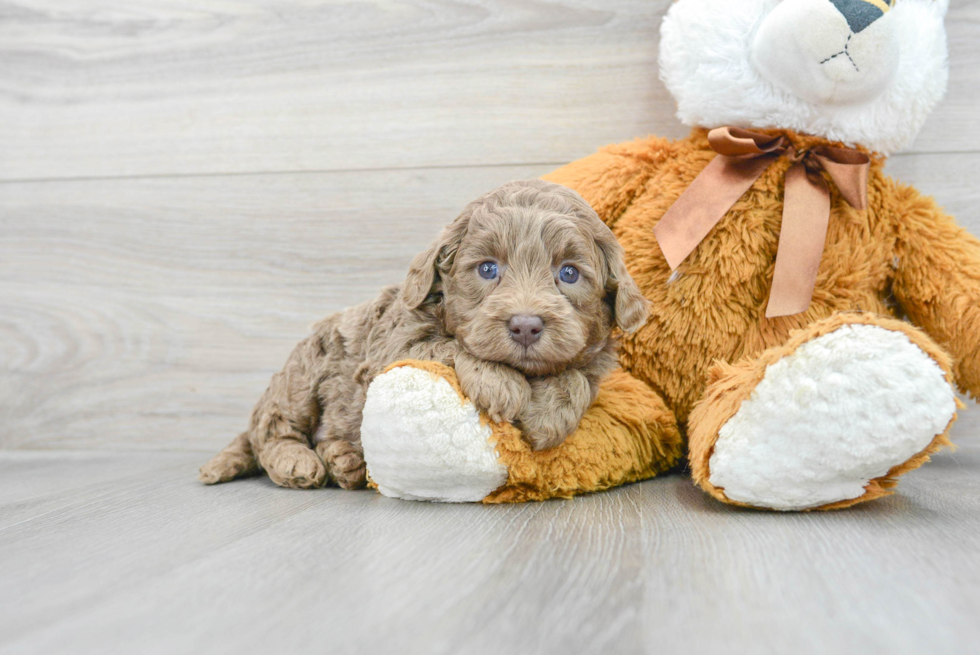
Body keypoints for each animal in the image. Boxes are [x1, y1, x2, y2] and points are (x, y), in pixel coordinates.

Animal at [199, 179, 652, 492]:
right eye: (487, 268)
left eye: (569, 273)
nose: (525, 325)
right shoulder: (394, 344)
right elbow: (450, 345)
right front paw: (500, 383)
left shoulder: (593, 359)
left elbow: (577, 375)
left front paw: (550, 413)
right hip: (303, 374)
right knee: (271, 430)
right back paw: (299, 462)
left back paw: (346, 462)